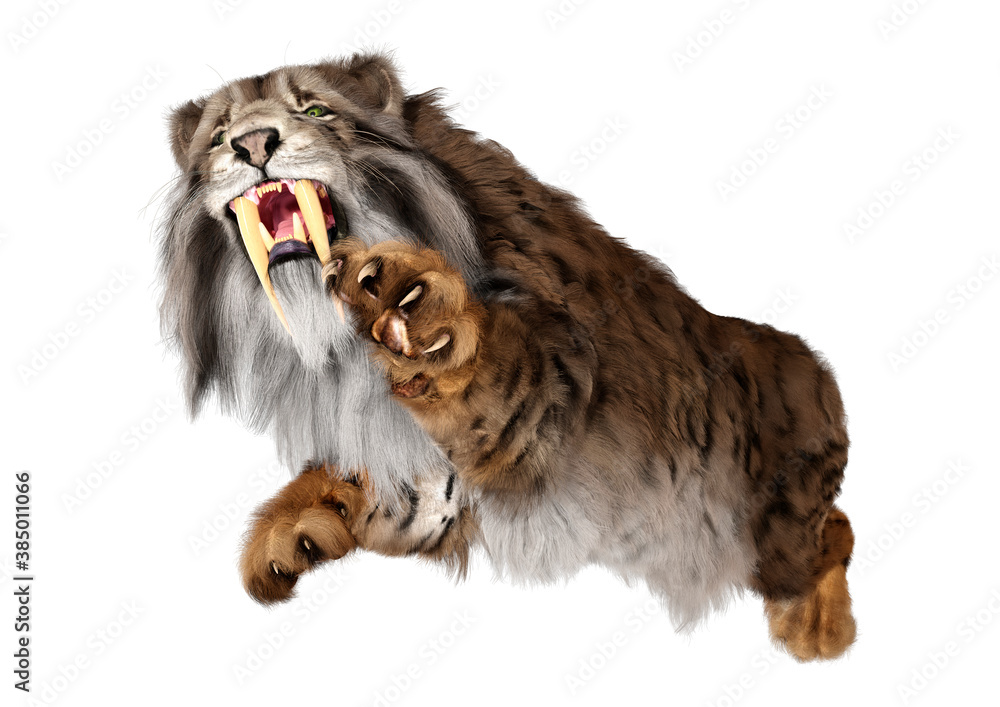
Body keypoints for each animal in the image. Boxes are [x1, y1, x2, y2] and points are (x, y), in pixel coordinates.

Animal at [159, 52, 856, 661]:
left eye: (315, 110)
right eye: (218, 137)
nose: (252, 144)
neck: (335, 348)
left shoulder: (544, 413)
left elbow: (483, 366)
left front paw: (411, 300)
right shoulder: (429, 490)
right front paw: (294, 527)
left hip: (782, 475)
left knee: (831, 536)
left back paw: (818, 627)